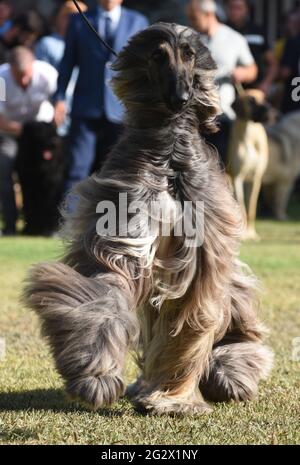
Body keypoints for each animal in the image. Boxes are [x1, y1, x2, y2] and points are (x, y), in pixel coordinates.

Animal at [227, 89, 272, 239]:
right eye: (251, 100)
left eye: (265, 98)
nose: (269, 109)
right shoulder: (237, 178)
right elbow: (241, 206)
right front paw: (244, 234)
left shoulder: (255, 178)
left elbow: (251, 206)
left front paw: (252, 233)